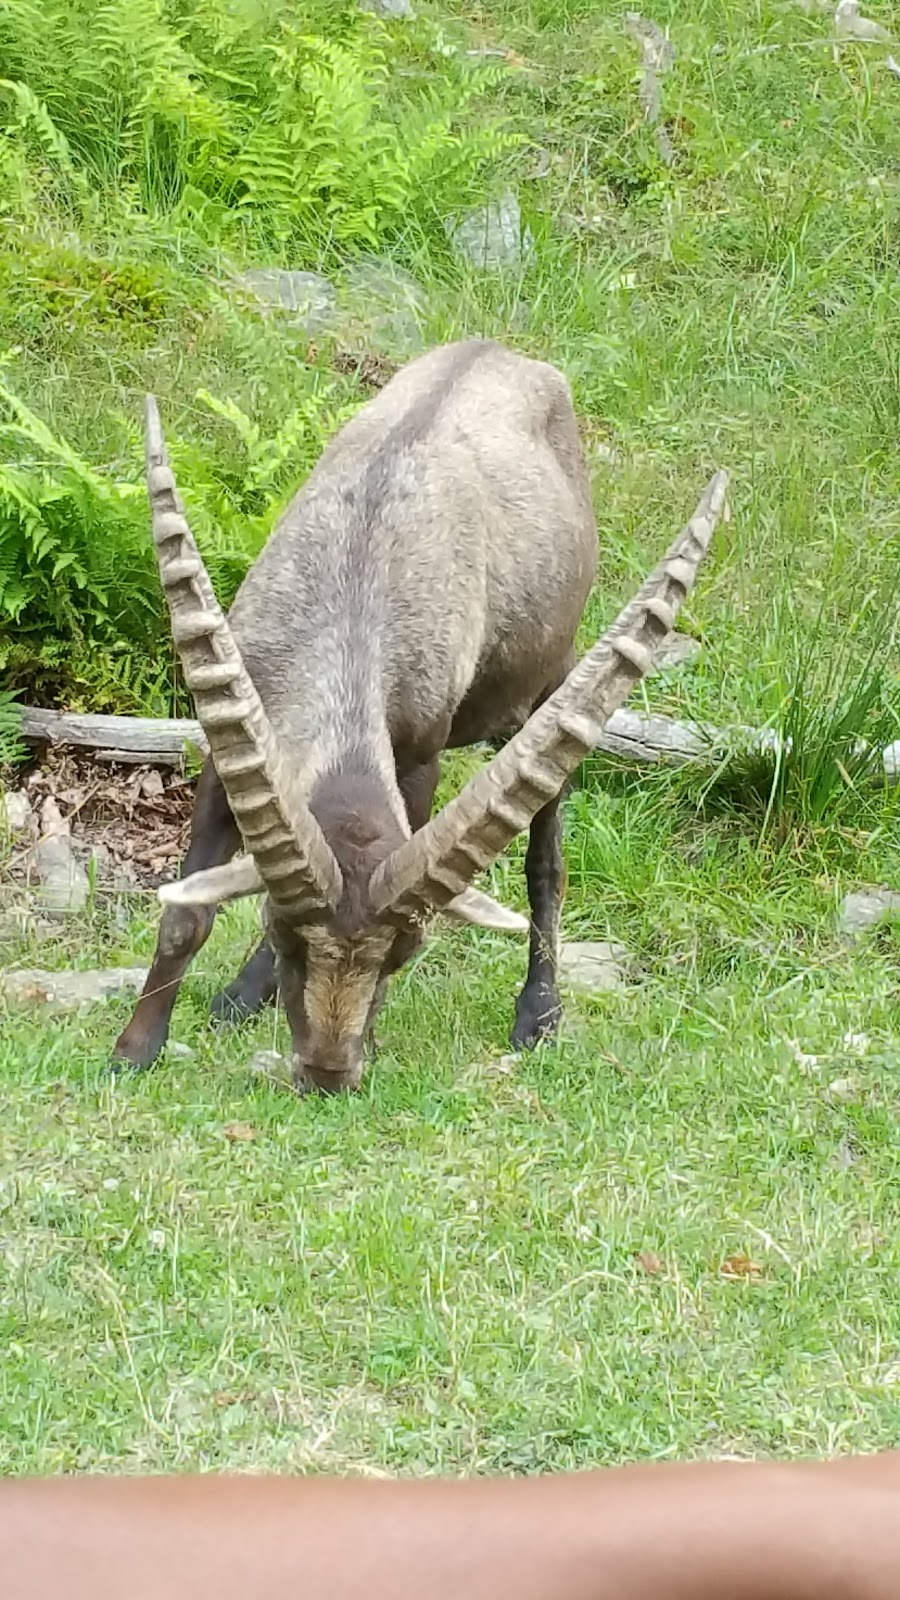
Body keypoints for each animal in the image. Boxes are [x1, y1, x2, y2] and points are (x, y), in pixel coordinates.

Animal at [113, 336, 720, 1088]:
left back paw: (539, 1013)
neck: (358, 574)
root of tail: (505, 353)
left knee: (546, 861)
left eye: (403, 953)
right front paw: (134, 1050)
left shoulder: (419, 759)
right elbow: (186, 914)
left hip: (553, 680)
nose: (328, 1076)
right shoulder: (232, 749)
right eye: (283, 935)